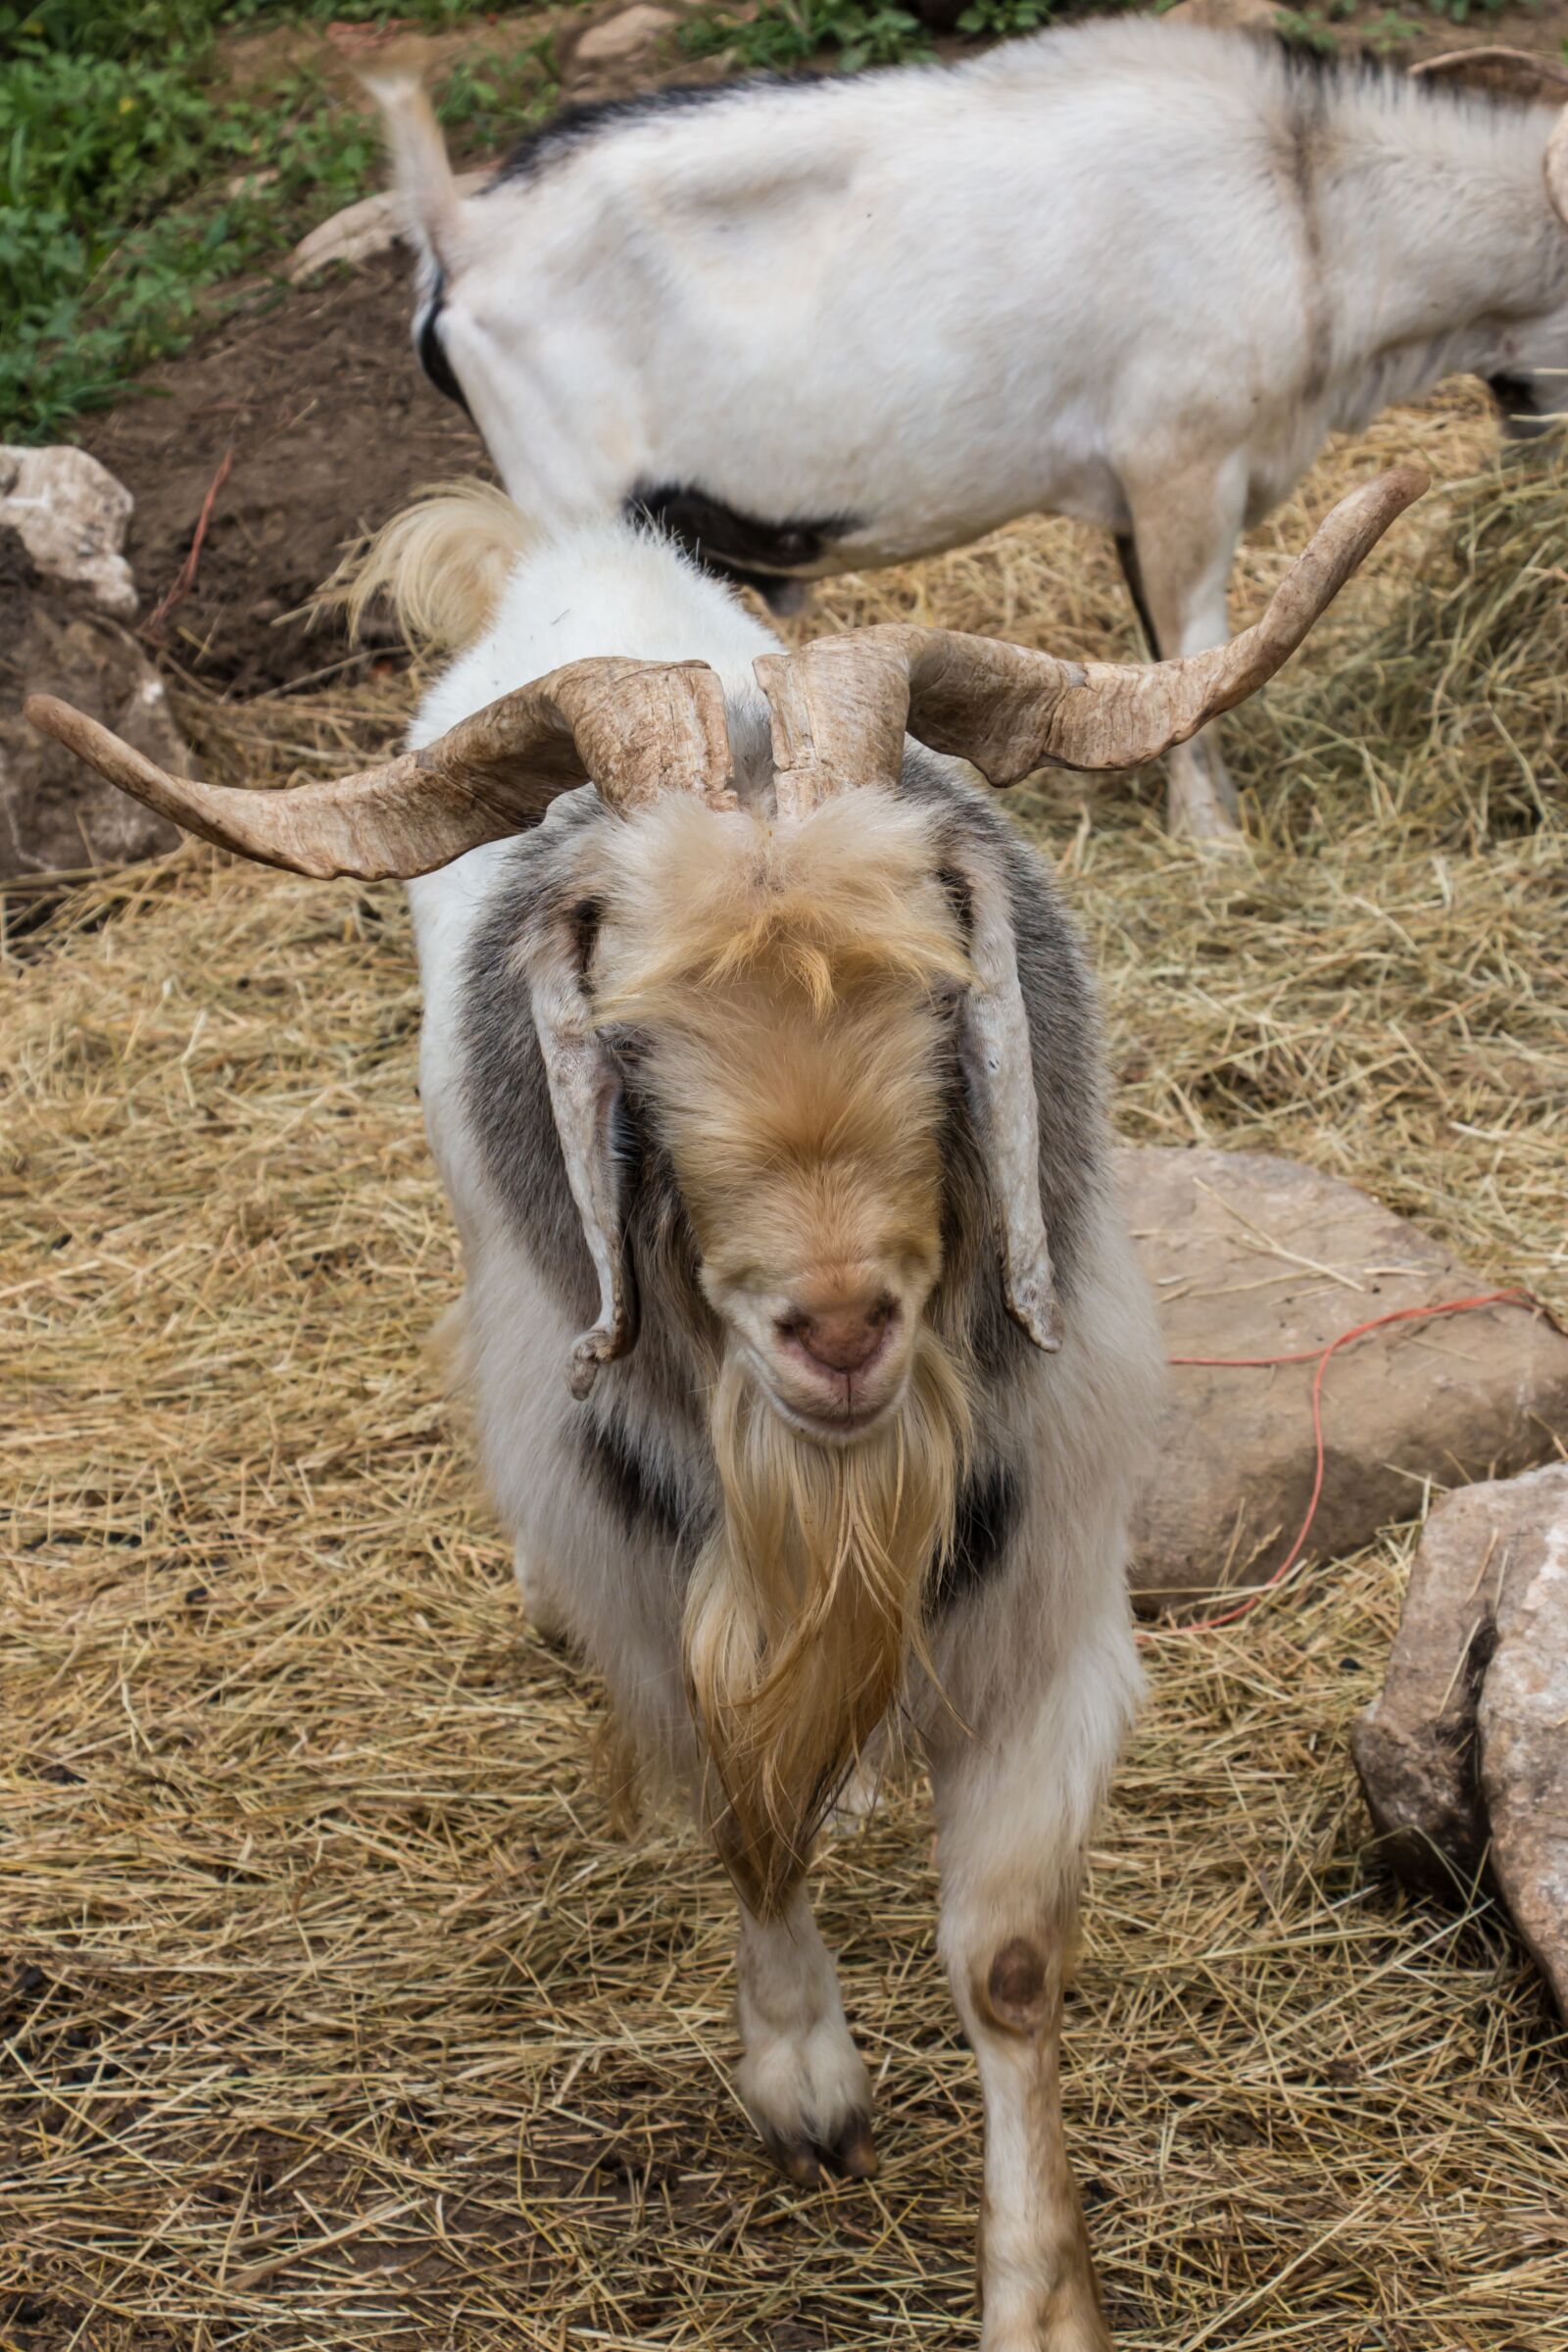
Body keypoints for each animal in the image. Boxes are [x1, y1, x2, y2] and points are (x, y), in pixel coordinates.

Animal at [27, 465, 1417, 2349]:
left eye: (936, 978)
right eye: (631, 1027)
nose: (835, 1325)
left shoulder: (1048, 1593)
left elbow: (1006, 1958)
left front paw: (1039, 2297)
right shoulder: (657, 1587)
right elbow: (745, 1818)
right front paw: (805, 2088)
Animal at [367, 28, 1568, 840]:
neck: (1308, 200)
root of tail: (462, 234)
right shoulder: (1182, 463)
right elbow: (1193, 638)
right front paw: (1213, 837)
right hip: (570, 502)